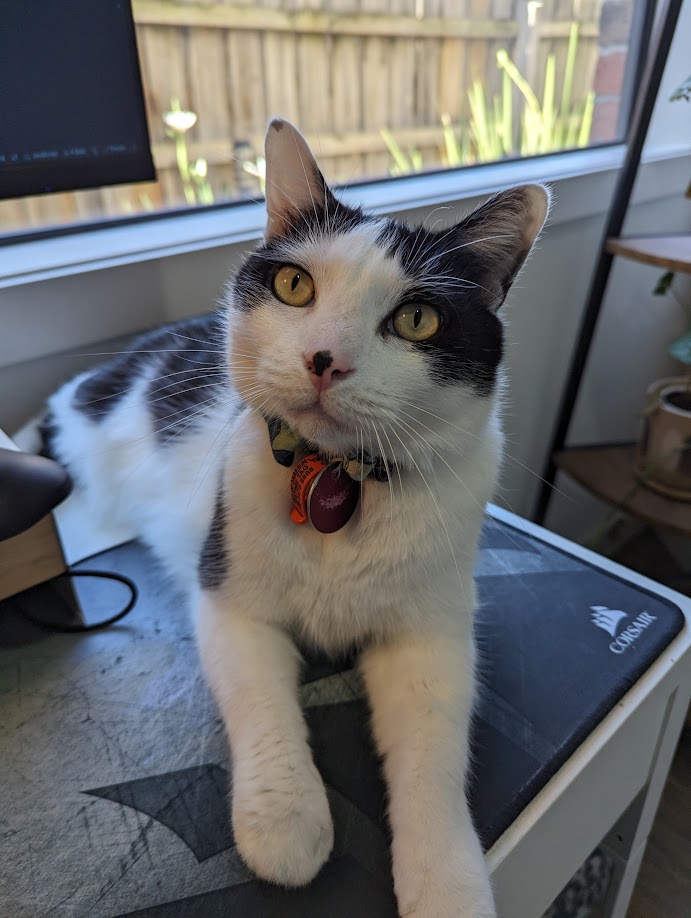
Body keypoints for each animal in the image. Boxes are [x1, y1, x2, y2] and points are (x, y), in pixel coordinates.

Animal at [42, 122, 552, 918]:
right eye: (294, 286)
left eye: (417, 319)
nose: (325, 359)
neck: (337, 477)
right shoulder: (229, 603)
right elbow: (265, 710)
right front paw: (284, 821)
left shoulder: (433, 635)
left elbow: (434, 759)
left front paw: (447, 884)